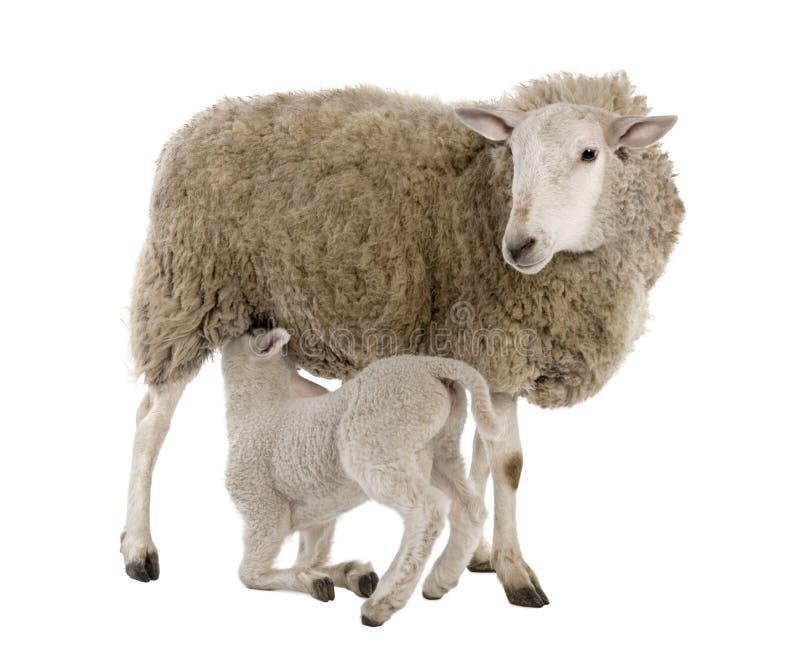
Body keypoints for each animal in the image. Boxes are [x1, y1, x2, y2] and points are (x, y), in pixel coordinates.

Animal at [222, 328, 504, 624]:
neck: (258, 411)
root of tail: (432, 366)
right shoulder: (318, 515)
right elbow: (311, 558)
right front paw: (344, 574)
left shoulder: (262, 507)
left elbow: (251, 574)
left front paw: (311, 580)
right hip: (440, 445)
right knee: (469, 508)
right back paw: (439, 580)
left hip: (377, 443)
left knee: (428, 510)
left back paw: (383, 602)